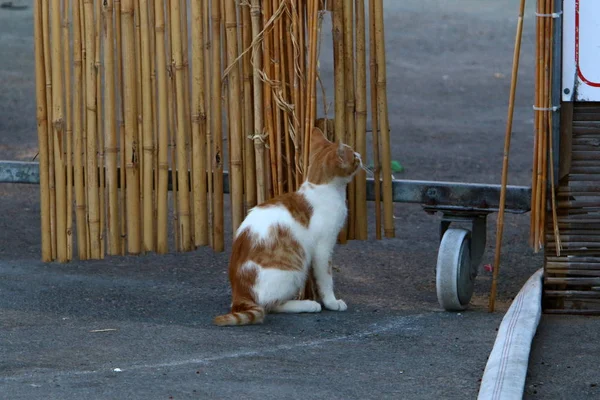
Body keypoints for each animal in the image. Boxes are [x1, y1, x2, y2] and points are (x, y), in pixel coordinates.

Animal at [214, 127, 360, 324]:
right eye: (354, 156)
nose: (360, 155)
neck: (321, 188)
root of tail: (239, 293)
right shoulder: (323, 248)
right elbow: (326, 278)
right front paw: (331, 302)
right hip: (292, 272)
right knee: (270, 305)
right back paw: (307, 305)